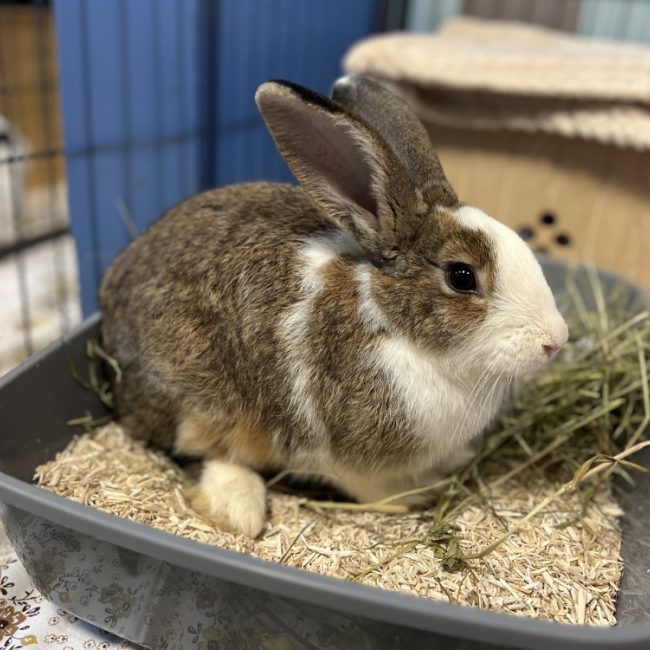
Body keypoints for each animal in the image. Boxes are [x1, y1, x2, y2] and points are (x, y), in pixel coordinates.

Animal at [99, 75, 568, 538]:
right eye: (461, 276)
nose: (556, 341)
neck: (392, 325)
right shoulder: (342, 455)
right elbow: (370, 488)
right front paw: (416, 495)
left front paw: (455, 462)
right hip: (198, 403)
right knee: (202, 453)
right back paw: (239, 508)